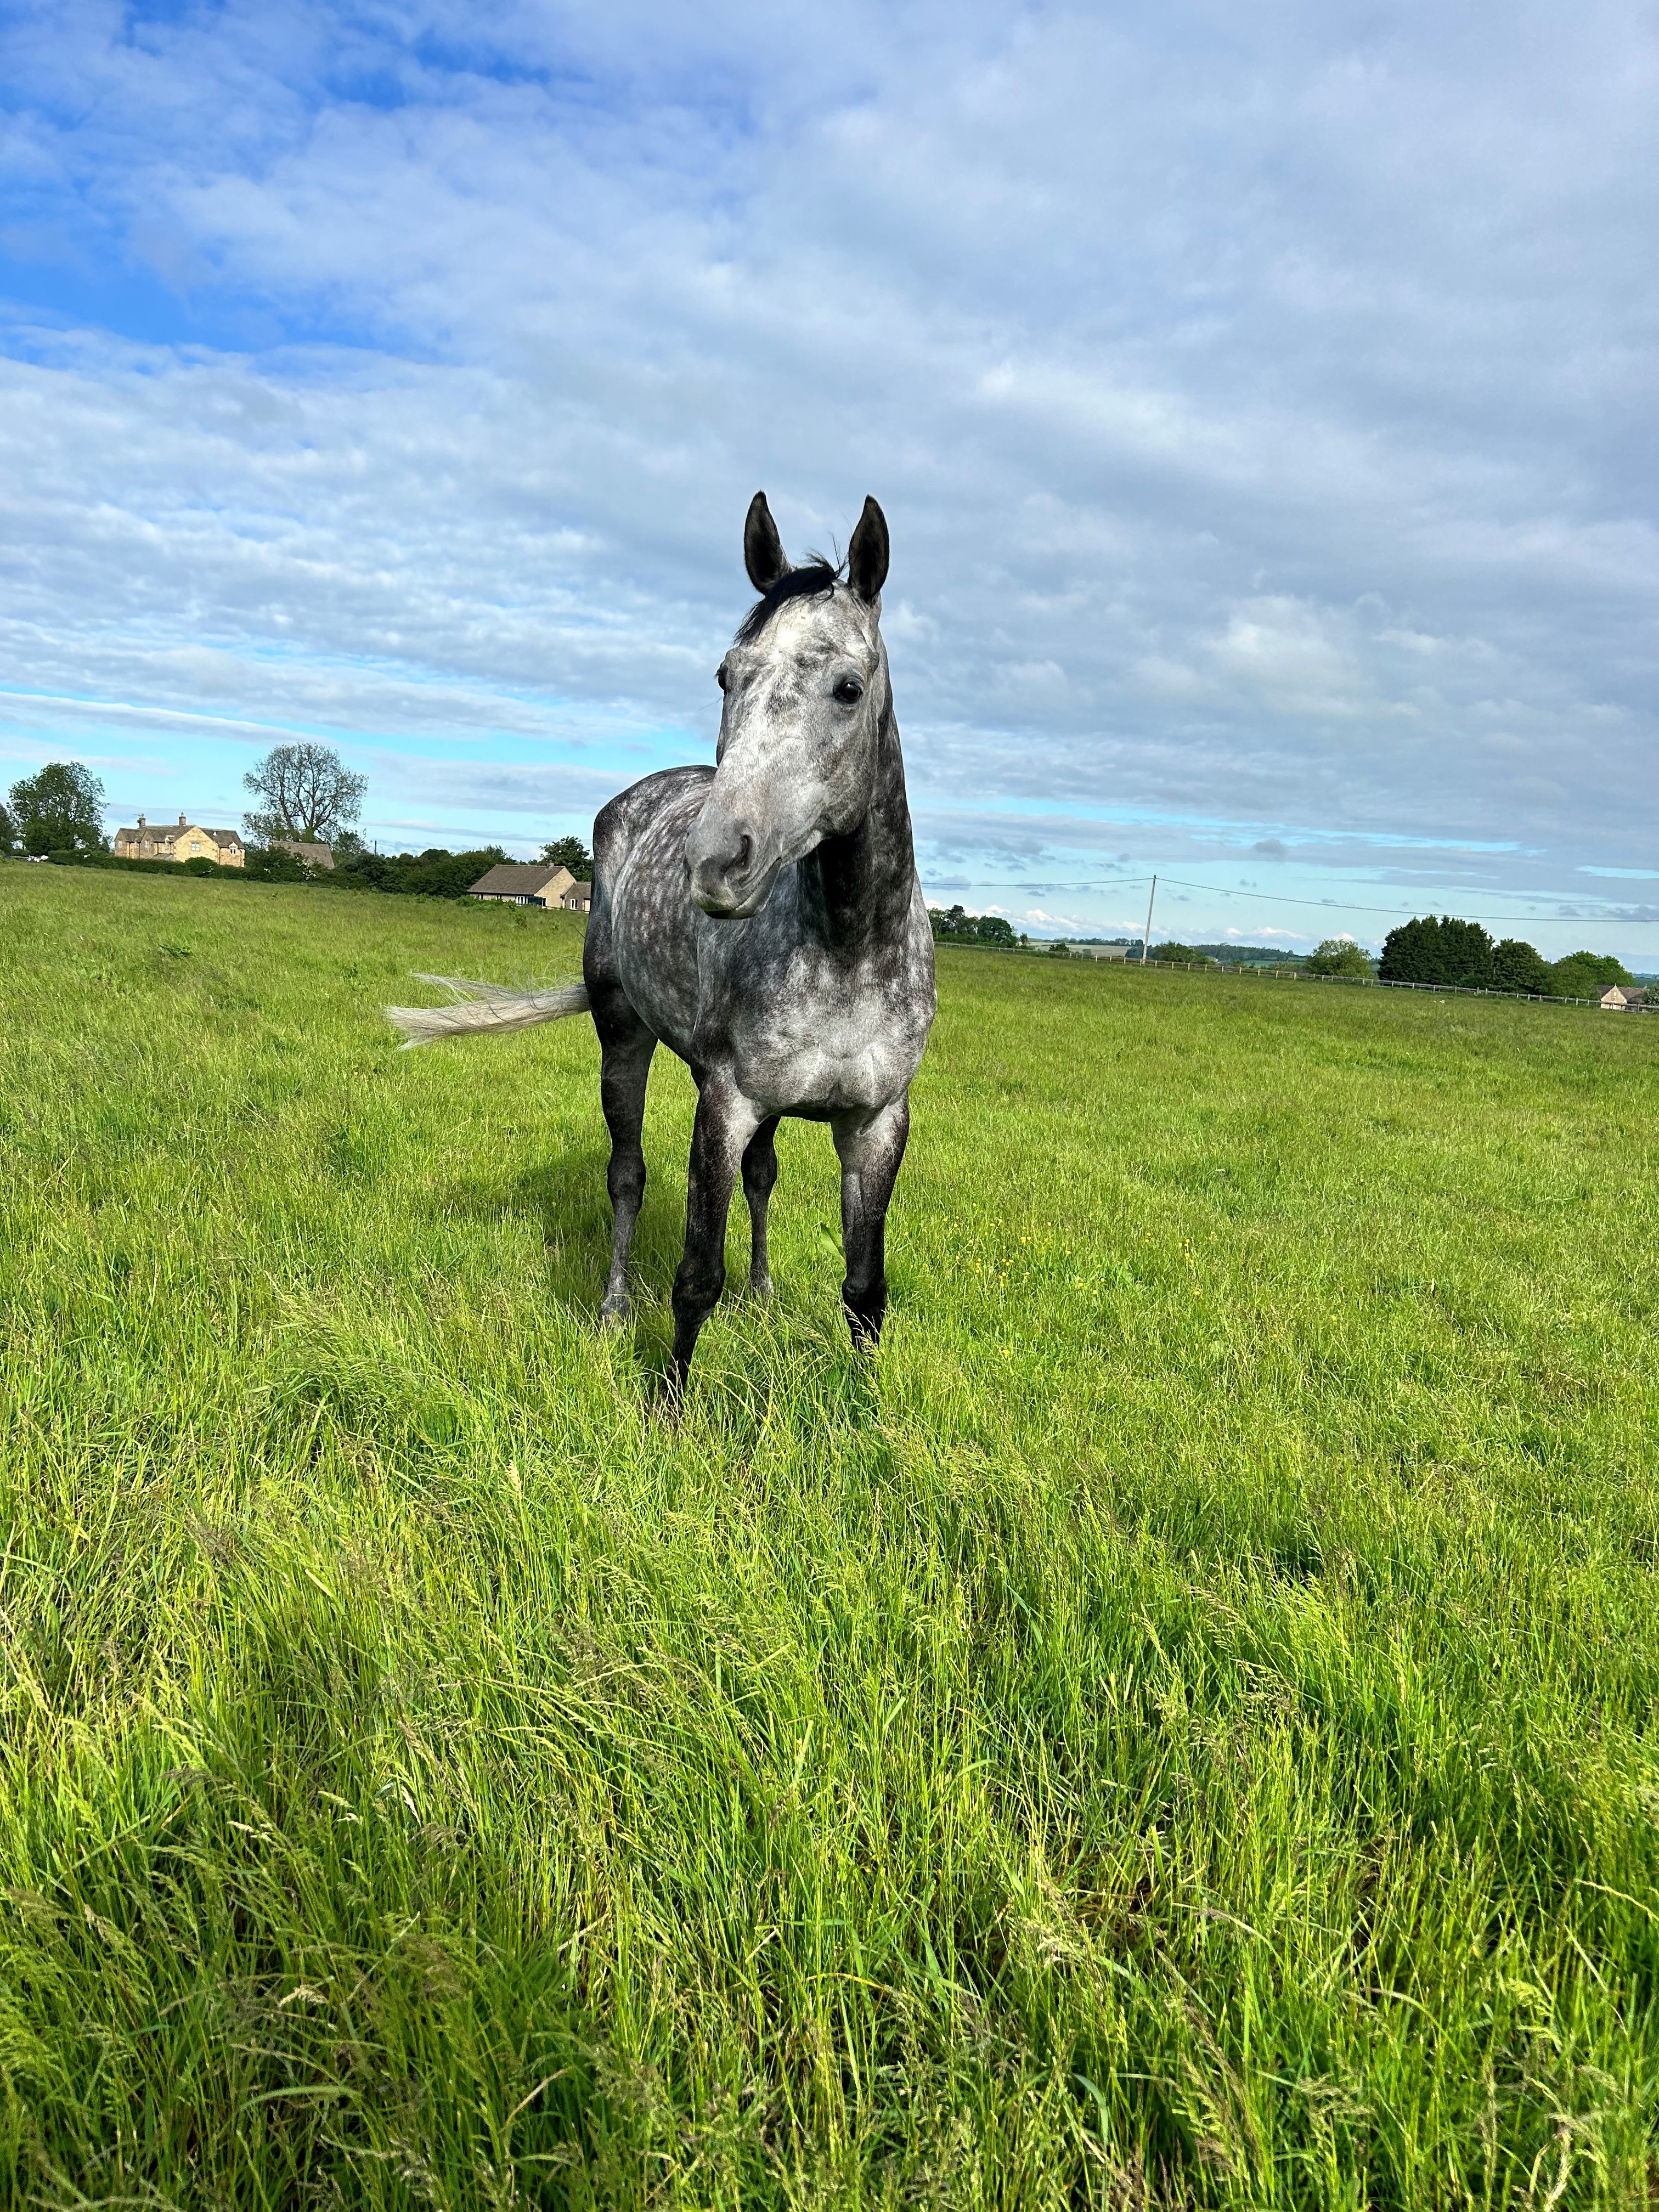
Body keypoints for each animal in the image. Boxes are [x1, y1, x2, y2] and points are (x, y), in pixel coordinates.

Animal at [389, 495, 938, 1389]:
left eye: (848, 689)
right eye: (727, 675)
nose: (715, 862)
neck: (848, 950)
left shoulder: (877, 1122)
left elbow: (864, 1288)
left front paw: (863, 1404)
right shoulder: (726, 1104)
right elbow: (694, 1277)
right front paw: (669, 1405)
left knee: (761, 1178)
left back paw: (763, 1293)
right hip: (624, 1036)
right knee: (627, 1176)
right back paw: (614, 1309)